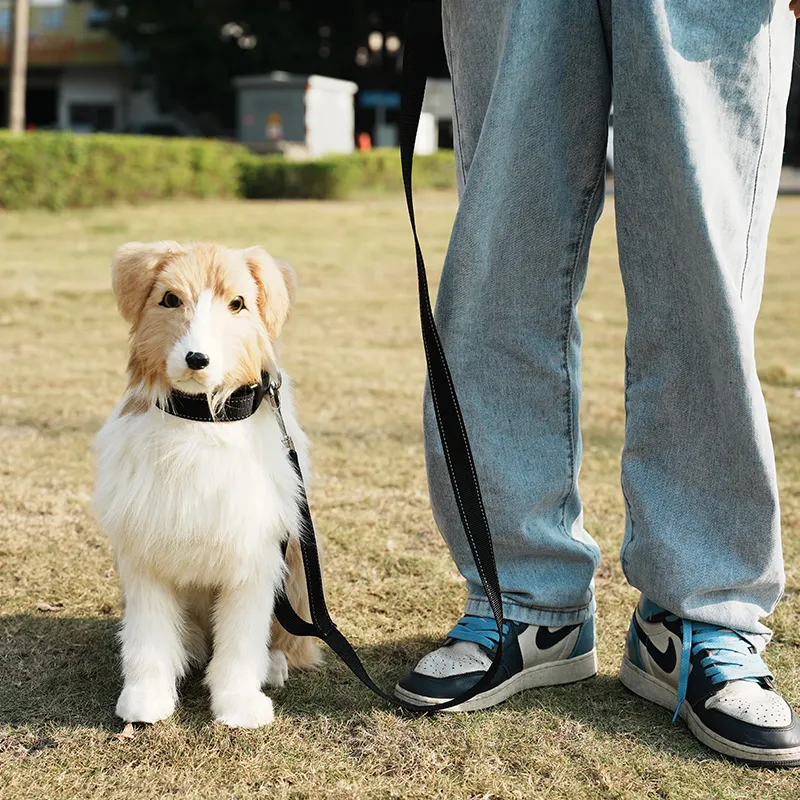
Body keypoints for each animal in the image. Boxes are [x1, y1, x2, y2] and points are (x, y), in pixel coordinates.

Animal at [92, 241, 318, 728]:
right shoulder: (145, 554)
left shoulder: (254, 558)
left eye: (237, 304)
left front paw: (240, 705)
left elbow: (241, 642)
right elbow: (150, 636)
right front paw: (146, 698)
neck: (201, 419)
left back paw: (273, 665)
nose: (197, 359)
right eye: (170, 299)